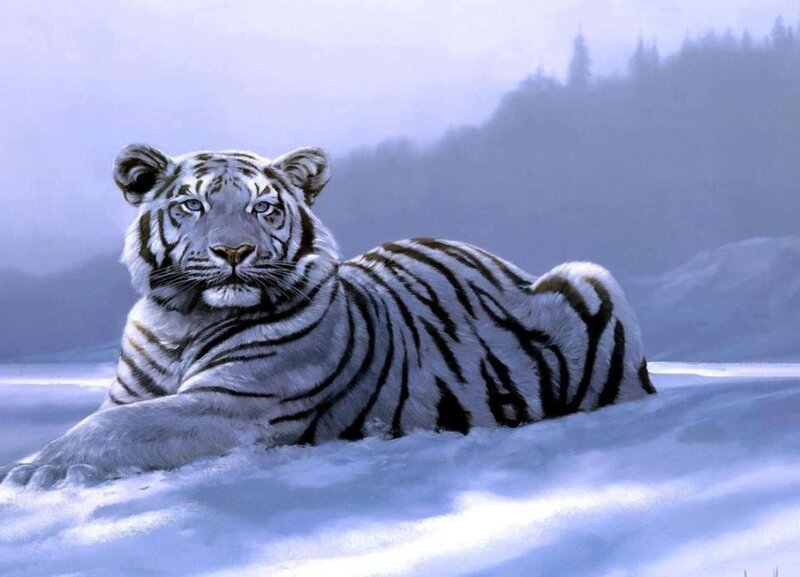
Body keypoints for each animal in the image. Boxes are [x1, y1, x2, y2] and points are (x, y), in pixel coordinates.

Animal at [0, 144, 656, 488]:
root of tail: (501, 260)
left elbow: (109, 430)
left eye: (263, 209)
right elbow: (106, 419)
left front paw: (29, 473)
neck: (182, 321)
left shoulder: (234, 404)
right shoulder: (134, 391)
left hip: (592, 277)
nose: (233, 252)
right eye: (192, 205)